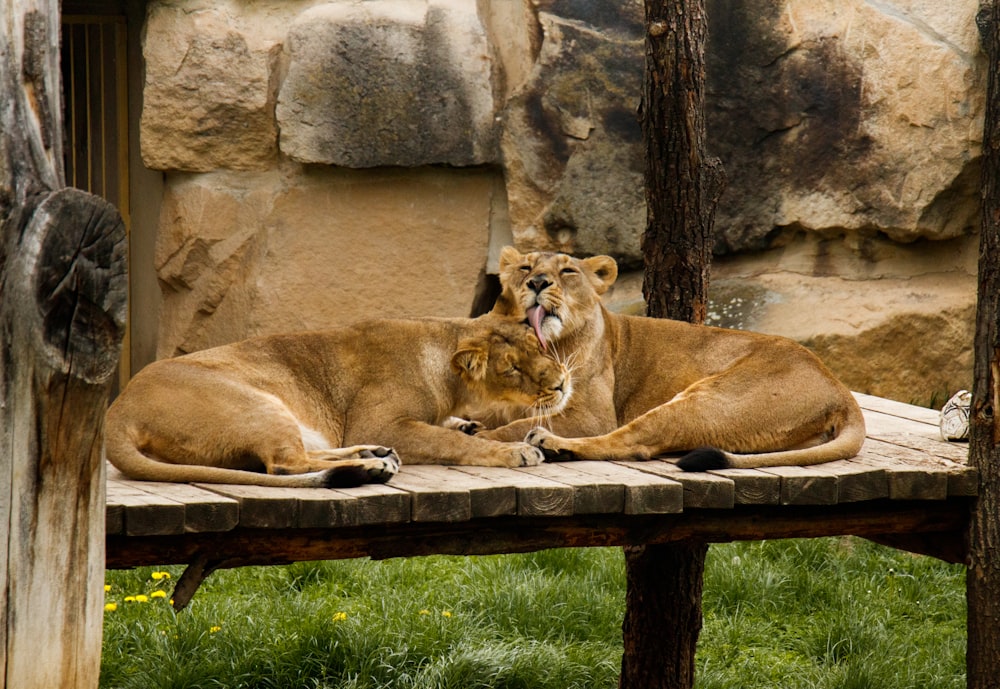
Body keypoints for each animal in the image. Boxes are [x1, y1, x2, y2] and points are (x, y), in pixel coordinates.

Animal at [103, 314, 572, 486]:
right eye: (512, 369)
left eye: (538, 343)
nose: (563, 383)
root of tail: (117, 412)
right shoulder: (378, 421)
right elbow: (451, 442)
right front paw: (514, 451)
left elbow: (455, 430)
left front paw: (469, 424)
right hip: (260, 403)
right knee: (285, 465)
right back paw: (371, 465)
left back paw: (375, 456)